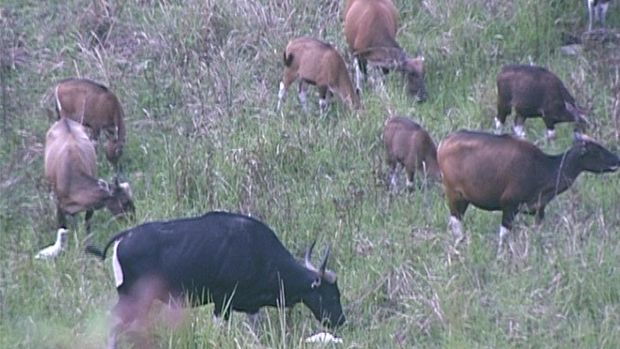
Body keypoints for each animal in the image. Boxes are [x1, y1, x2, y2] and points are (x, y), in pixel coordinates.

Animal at [438, 130, 616, 253]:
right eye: (597, 151)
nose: (618, 159)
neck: (543, 168)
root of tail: (445, 142)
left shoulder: (539, 210)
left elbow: (538, 233)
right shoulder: (509, 205)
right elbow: (504, 236)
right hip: (455, 196)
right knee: (456, 224)